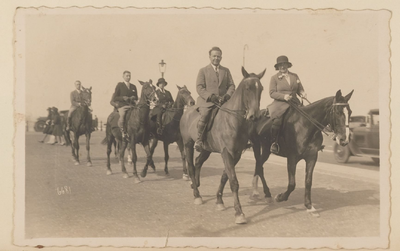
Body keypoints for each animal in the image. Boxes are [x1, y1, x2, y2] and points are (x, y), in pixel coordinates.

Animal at [180, 66, 264, 224]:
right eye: (247, 88)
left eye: (261, 89)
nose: (254, 116)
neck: (233, 121)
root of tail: (186, 112)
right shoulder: (227, 152)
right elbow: (233, 181)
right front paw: (239, 212)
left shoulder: (236, 154)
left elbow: (225, 177)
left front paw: (219, 200)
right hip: (188, 144)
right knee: (191, 166)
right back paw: (197, 195)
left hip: (206, 149)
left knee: (198, 162)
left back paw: (196, 185)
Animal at [248, 88, 354, 216]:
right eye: (338, 112)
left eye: (350, 112)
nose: (345, 140)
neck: (305, 126)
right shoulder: (292, 158)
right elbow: (292, 183)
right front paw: (280, 197)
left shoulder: (312, 157)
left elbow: (308, 181)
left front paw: (309, 206)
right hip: (257, 146)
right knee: (259, 166)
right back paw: (262, 193)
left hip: (265, 149)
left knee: (259, 166)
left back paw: (259, 192)